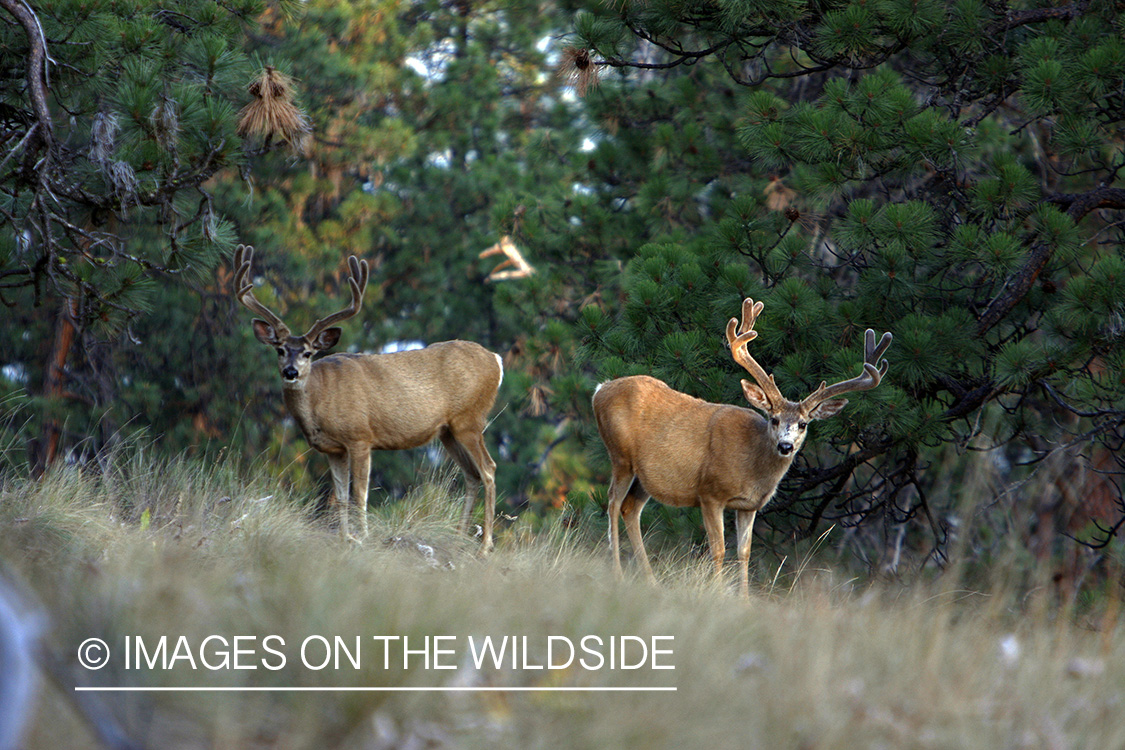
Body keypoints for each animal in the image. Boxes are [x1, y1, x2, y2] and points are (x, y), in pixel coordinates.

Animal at [231, 244, 504, 550]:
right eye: (279, 350)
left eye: (308, 353)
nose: (291, 372)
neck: (320, 398)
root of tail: (496, 360)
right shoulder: (333, 448)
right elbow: (340, 497)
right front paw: (344, 539)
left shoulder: (360, 436)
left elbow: (359, 494)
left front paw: (362, 537)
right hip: (448, 431)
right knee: (472, 474)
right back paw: (459, 538)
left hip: (470, 418)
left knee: (489, 469)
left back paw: (486, 545)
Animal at [592, 298, 892, 597]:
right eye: (774, 418)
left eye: (804, 424)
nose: (785, 446)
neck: (752, 466)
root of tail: (599, 389)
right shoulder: (710, 492)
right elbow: (719, 550)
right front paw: (717, 593)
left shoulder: (749, 506)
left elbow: (744, 552)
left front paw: (745, 600)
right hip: (620, 456)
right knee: (613, 502)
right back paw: (617, 573)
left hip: (647, 476)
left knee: (630, 508)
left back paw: (650, 581)